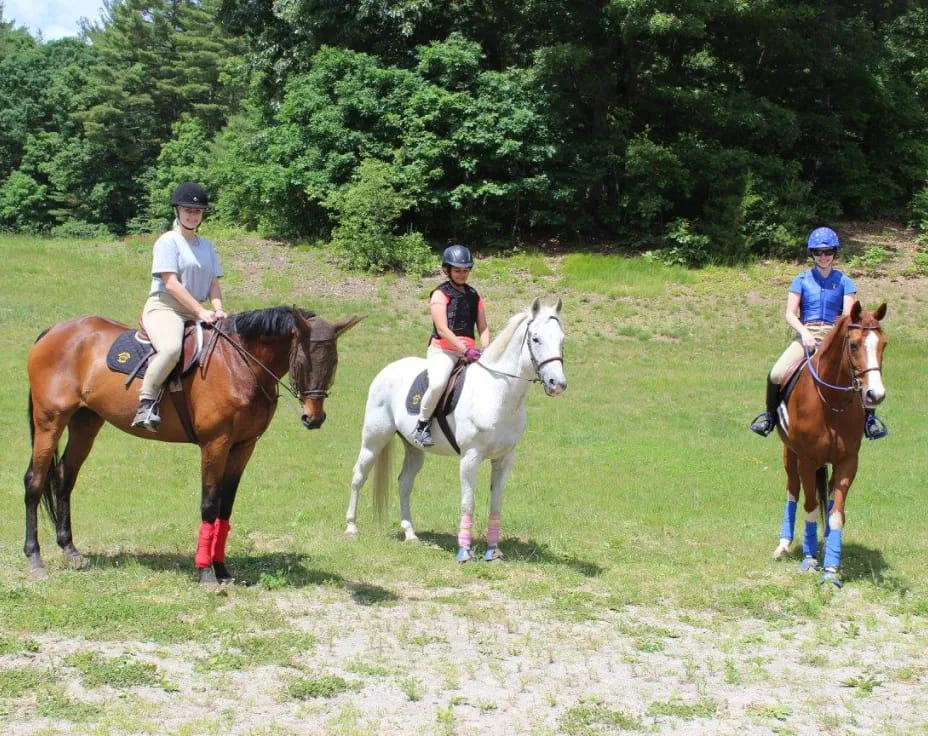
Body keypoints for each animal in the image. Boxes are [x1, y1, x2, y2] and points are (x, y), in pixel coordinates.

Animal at [23, 304, 360, 588]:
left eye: (333, 362)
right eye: (303, 360)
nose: (314, 418)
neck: (238, 364)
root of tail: (55, 332)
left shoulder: (243, 446)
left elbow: (225, 506)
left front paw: (222, 568)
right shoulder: (215, 444)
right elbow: (209, 504)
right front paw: (206, 573)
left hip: (86, 423)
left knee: (64, 478)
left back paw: (70, 550)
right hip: (50, 422)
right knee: (35, 482)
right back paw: (35, 558)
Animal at [346, 296, 568, 560]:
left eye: (562, 339)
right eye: (535, 339)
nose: (558, 384)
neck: (497, 392)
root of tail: (388, 369)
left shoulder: (504, 459)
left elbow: (496, 503)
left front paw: (494, 552)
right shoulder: (470, 457)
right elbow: (467, 503)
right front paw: (464, 552)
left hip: (413, 449)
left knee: (404, 483)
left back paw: (410, 534)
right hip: (374, 439)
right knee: (358, 476)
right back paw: (351, 528)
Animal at [768, 300, 884, 588]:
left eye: (883, 344)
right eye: (853, 345)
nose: (875, 395)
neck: (831, 402)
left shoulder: (848, 462)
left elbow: (836, 513)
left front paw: (831, 569)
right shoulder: (808, 460)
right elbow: (810, 508)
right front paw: (810, 561)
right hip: (790, 456)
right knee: (793, 492)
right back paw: (783, 545)